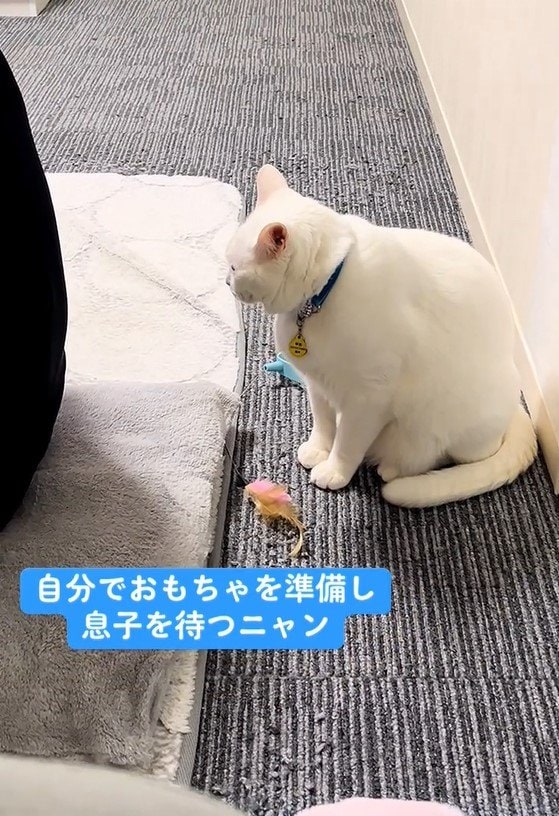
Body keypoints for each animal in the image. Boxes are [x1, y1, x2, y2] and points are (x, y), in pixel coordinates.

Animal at [225, 165, 537, 508]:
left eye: (233, 267)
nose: (226, 282)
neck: (320, 296)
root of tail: (515, 406)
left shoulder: (368, 397)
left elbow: (348, 442)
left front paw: (334, 470)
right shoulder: (318, 384)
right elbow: (323, 423)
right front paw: (319, 449)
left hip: (447, 420)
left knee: (449, 455)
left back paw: (393, 467)